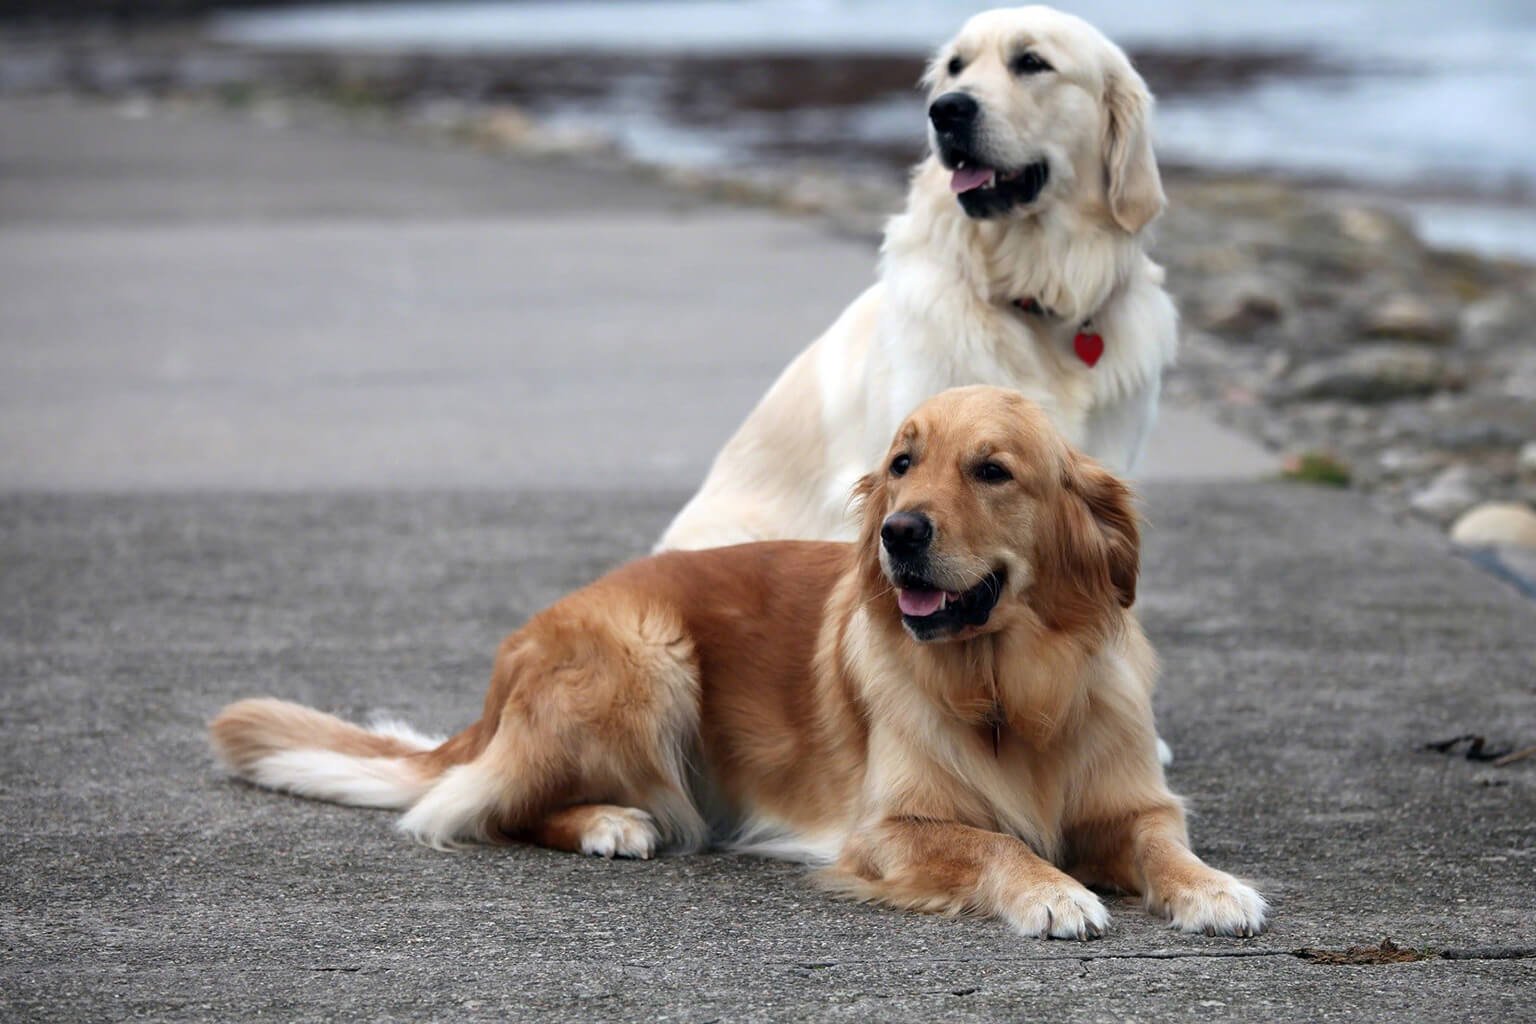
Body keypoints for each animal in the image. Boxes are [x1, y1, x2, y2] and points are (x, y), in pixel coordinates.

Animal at [210, 388, 1265, 939]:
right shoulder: (891, 829)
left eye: (992, 470)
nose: (898, 533)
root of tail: (518, 648)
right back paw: (610, 822)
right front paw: (1053, 891)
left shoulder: (1133, 804)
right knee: (477, 809)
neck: (1010, 684)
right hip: (647, 660)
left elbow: (1162, 845)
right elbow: (994, 844)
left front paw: (1212, 887)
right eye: (902, 463)